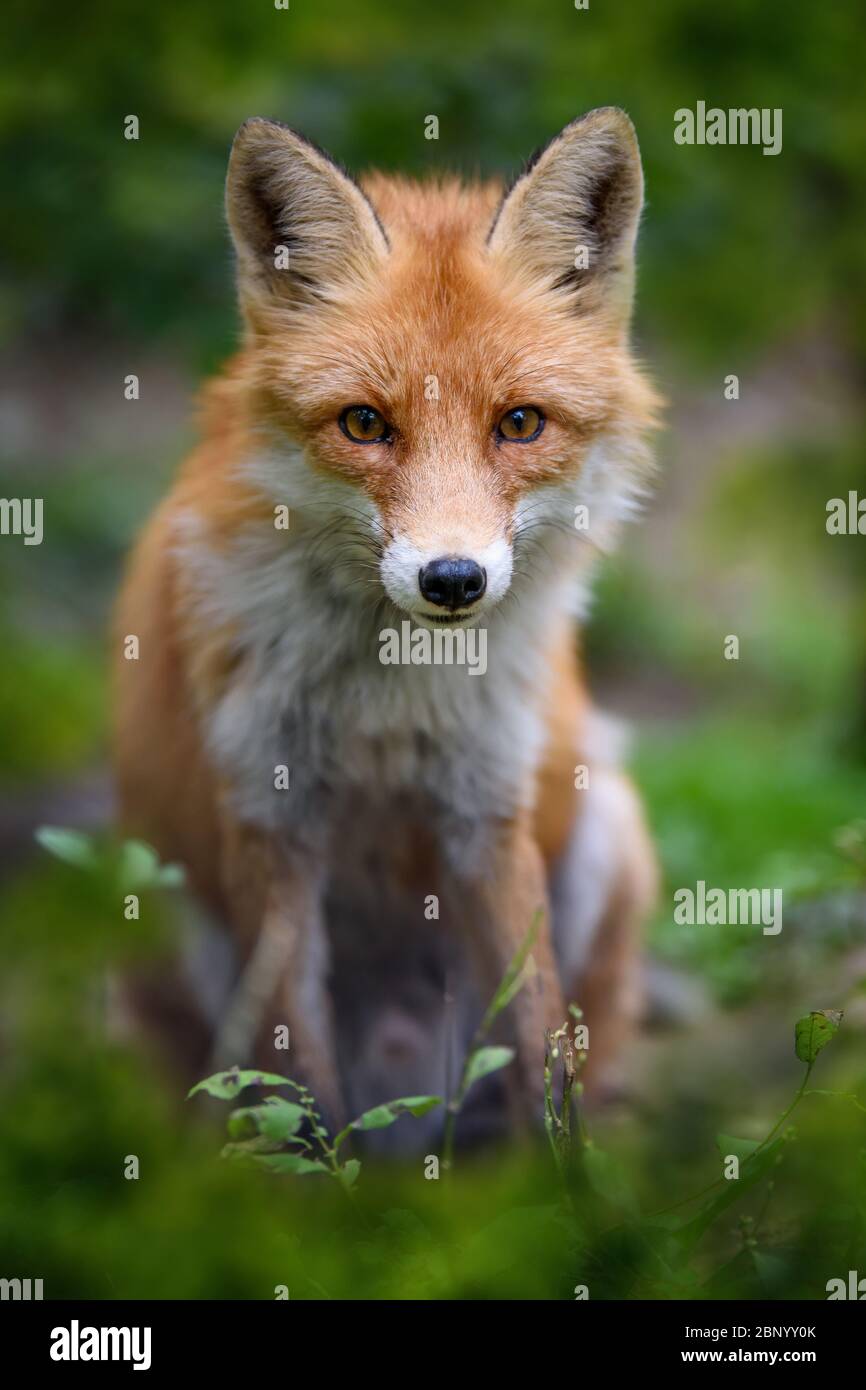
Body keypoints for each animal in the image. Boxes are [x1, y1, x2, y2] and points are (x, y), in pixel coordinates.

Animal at [113, 108, 660, 1139]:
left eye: (520, 424)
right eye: (365, 424)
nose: (452, 579)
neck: (391, 696)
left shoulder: (486, 807)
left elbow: (540, 1051)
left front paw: (566, 1181)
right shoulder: (269, 818)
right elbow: (301, 1084)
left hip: (606, 823)